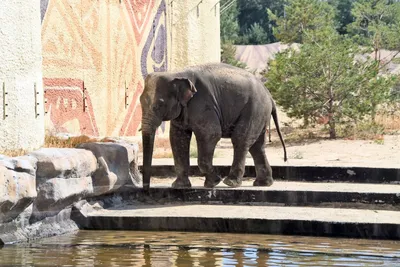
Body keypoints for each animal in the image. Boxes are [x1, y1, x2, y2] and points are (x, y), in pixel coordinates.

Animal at [141, 62, 288, 192]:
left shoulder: (202, 104)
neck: (175, 72)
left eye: (159, 105)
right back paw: (263, 184)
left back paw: (231, 183)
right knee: (257, 146)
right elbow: (178, 139)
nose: (146, 189)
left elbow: (211, 134)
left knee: (241, 140)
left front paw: (213, 183)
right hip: (260, 114)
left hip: (254, 109)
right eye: (140, 101)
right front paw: (179, 186)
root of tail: (269, 95)